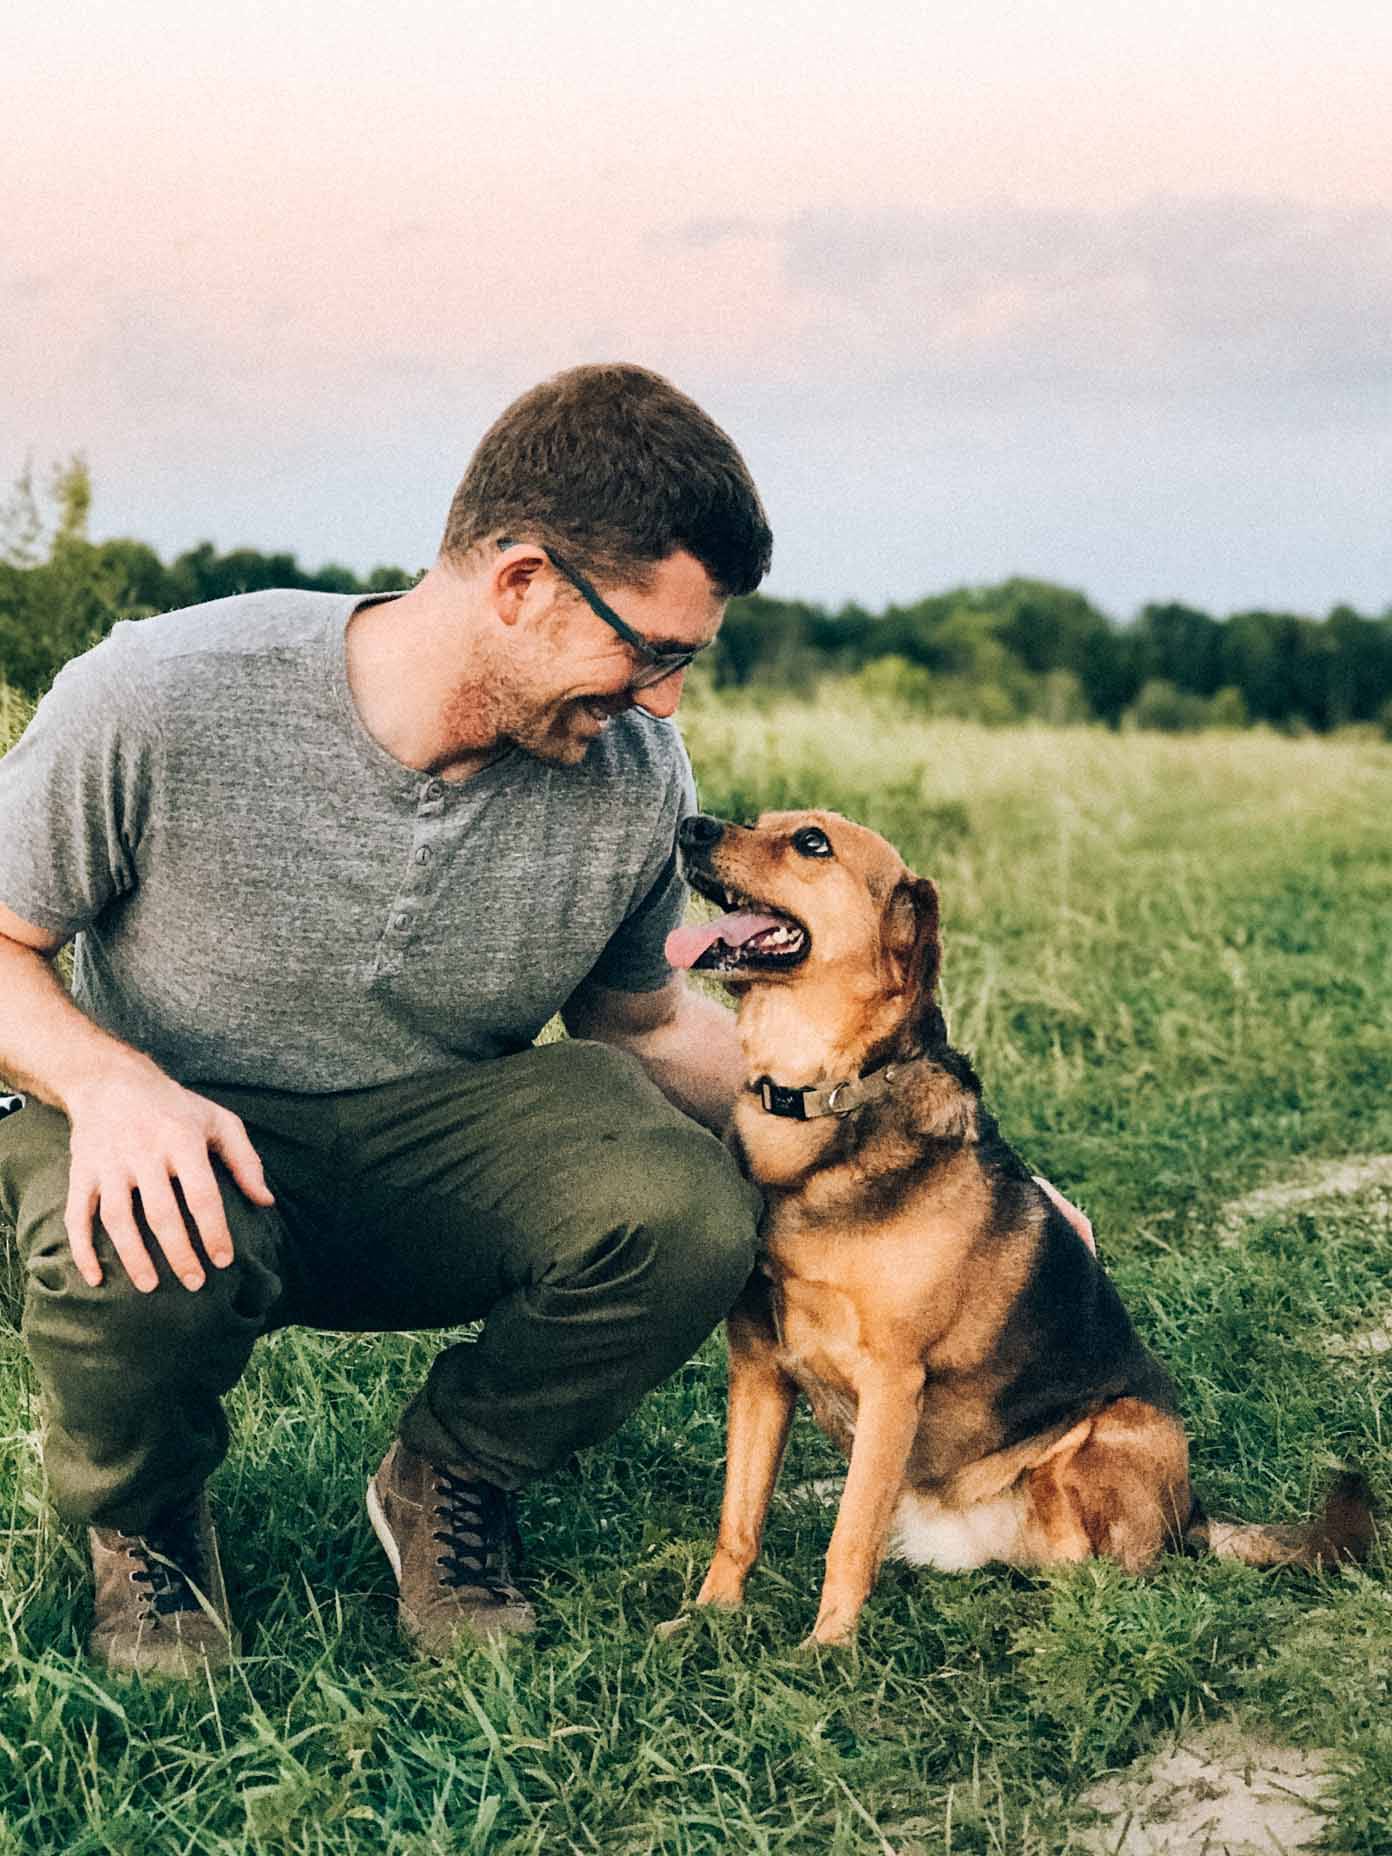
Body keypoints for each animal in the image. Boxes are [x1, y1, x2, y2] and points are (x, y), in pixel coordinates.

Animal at [664, 805, 1373, 1648]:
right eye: (762, 820)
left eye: (811, 842)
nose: (691, 825)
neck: (823, 1105)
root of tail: (1193, 1514)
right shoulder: (758, 1369)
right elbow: (739, 1518)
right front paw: (706, 1618)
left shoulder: (891, 1382)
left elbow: (850, 1536)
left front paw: (826, 1649)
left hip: (1110, 1435)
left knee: (1110, 1570)